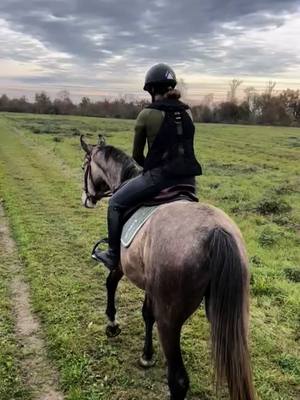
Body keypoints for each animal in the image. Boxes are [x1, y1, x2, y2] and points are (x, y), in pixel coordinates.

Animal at [79, 135, 255, 400]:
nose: (85, 198)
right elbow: (146, 314)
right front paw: (147, 355)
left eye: (84, 166)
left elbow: (110, 284)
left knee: (178, 380)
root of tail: (217, 232)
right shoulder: (151, 287)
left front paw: (112, 324)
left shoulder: (121, 265)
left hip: (170, 319)